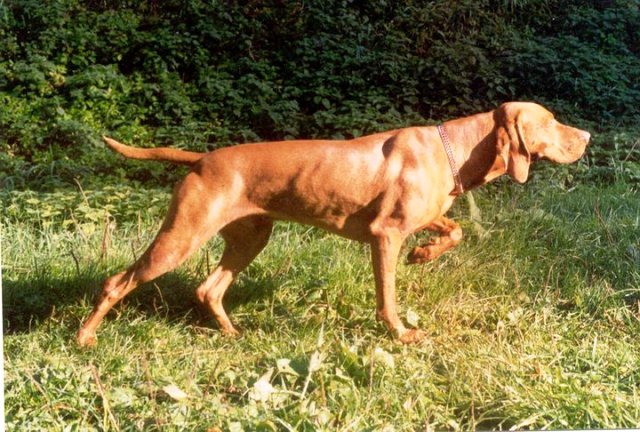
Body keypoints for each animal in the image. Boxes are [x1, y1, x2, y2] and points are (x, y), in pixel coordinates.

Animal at [76, 100, 592, 344]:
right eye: (550, 121)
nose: (586, 135)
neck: (457, 147)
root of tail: (203, 159)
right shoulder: (384, 236)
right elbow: (387, 298)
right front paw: (400, 334)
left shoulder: (426, 217)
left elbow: (455, 229)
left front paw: (425, 254)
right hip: (181, 236)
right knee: (116, 282)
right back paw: (84, 337)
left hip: (250, 238)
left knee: (209, 288)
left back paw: (232, 333)